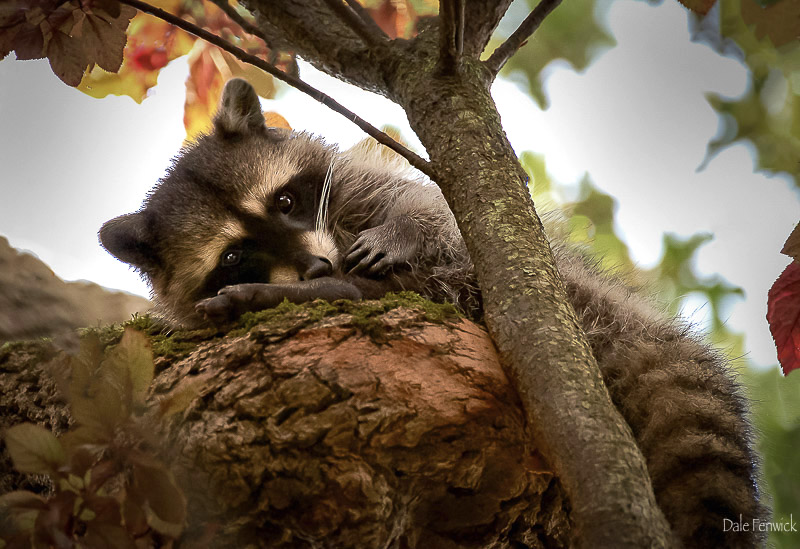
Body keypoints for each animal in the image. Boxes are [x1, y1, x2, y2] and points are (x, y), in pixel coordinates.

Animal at [101, 79, 768, 544]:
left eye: (285, 200)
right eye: (236, 254)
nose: (316, 269)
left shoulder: (361, 184)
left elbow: (434, 211)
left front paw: (397, 234)